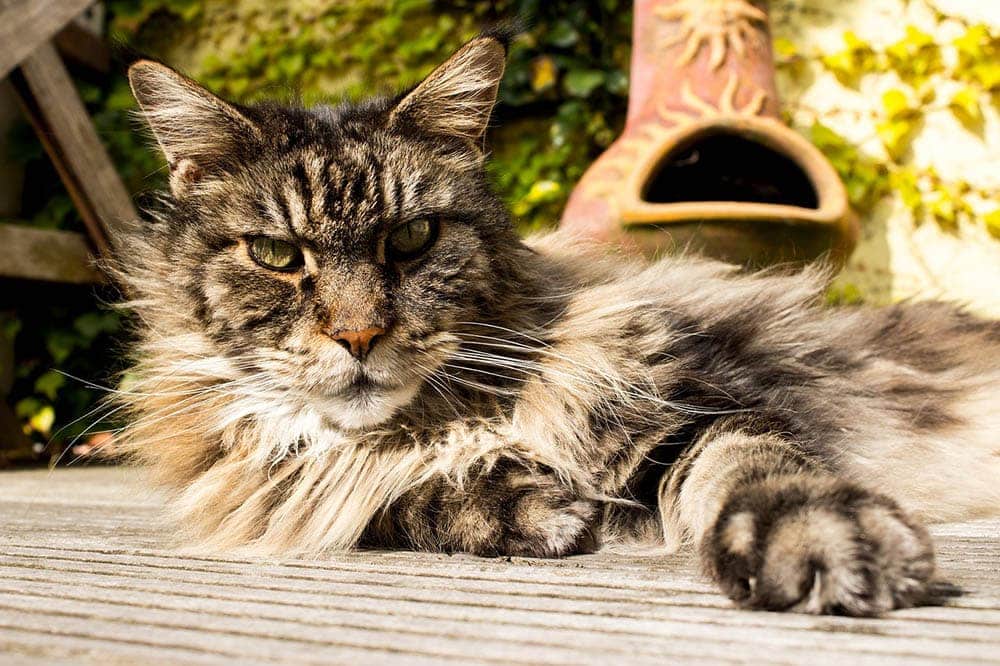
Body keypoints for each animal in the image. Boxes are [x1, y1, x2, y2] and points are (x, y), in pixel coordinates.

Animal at [113, 29, 1000, 612]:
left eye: (412, 238)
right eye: (274, 253)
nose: (359, 335)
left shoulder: (696, 405)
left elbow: (757, 471)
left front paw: (819, 540)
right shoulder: (285, 479)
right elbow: (394, 496)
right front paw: (529, 509)